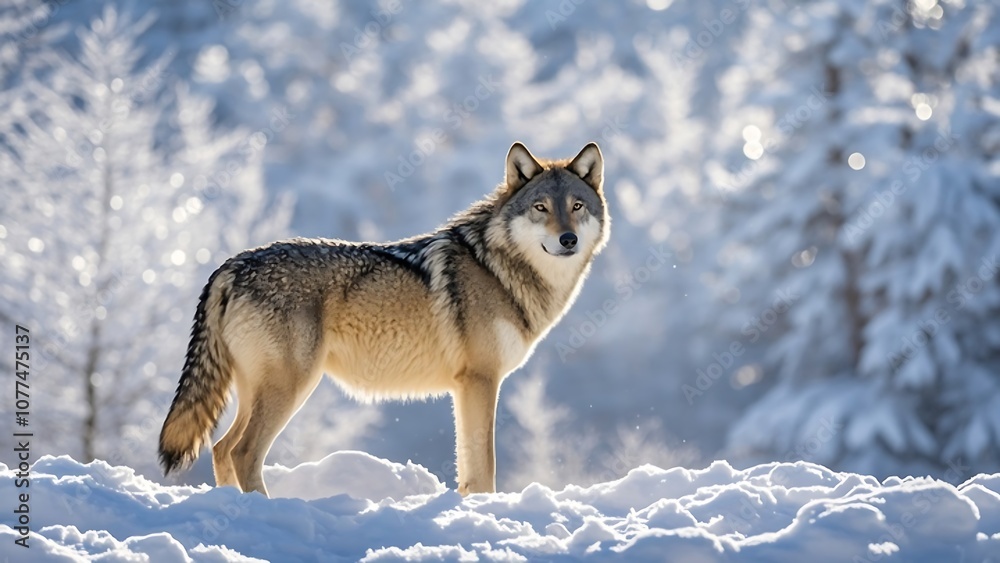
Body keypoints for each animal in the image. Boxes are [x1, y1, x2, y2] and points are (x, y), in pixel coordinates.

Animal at [158, 142, 609, 496]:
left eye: (576, 207)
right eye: (540, 208)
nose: (567, 239)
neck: (498, 269)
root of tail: (231, 265)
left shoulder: (467, 387)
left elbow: (469, 468)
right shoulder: (480, 380)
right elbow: (485, 468)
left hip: (263, 389)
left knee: (221, 448)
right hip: (292, 387)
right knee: (242, 451)